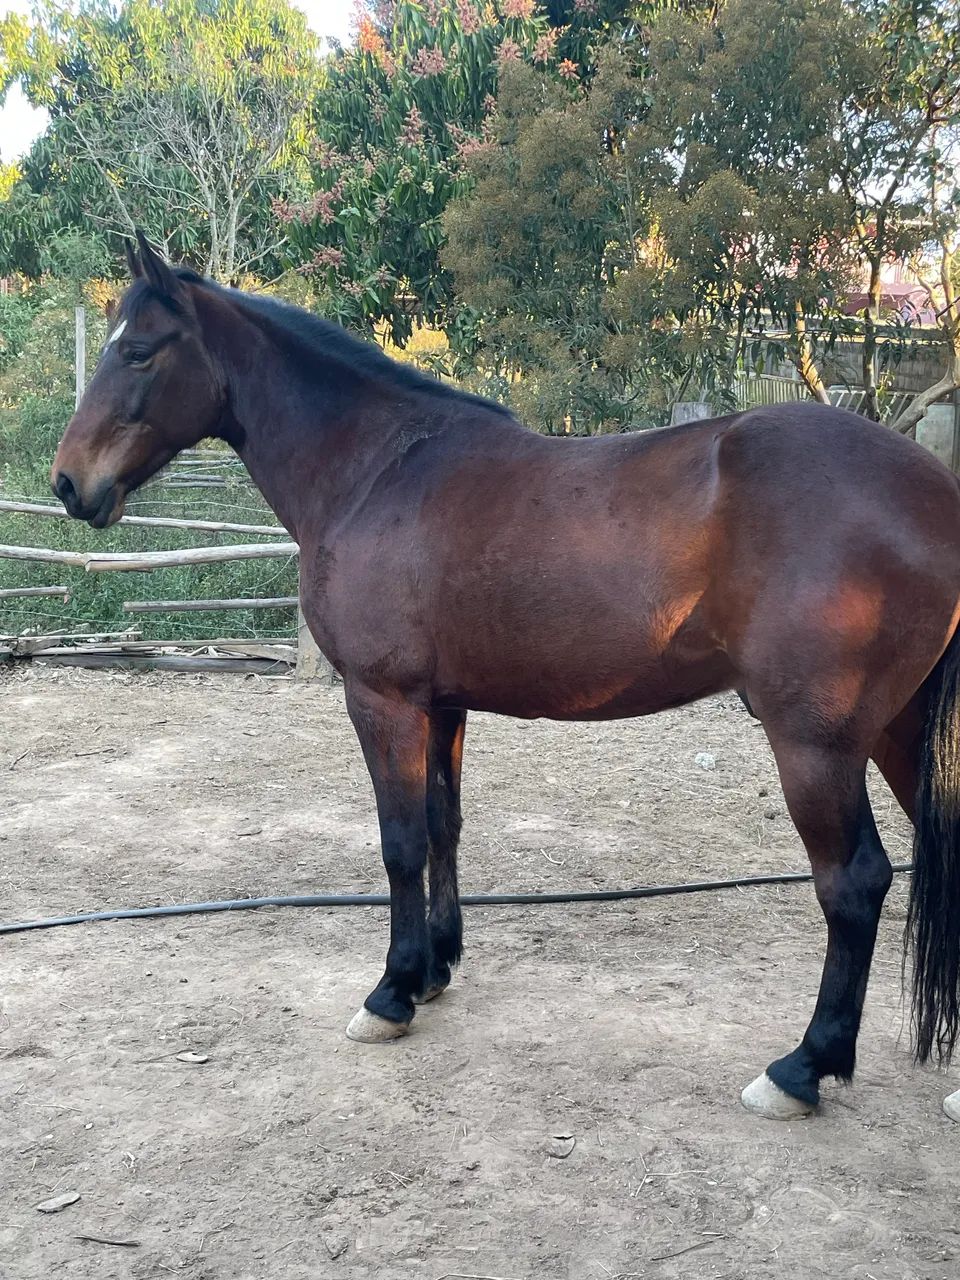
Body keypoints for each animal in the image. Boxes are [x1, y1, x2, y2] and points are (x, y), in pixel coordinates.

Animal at [51, 233, 960, 1123]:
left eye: (137, 350)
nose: (67, 483)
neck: (376, 470)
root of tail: (932, 488)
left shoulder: (382, 701)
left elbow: (399, 840)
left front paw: (391, 992)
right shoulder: (442, 706)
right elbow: (443, 826)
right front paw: (435, 968)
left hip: (818, 744)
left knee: (853, 883)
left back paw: (803, 1067)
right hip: (898, 730)